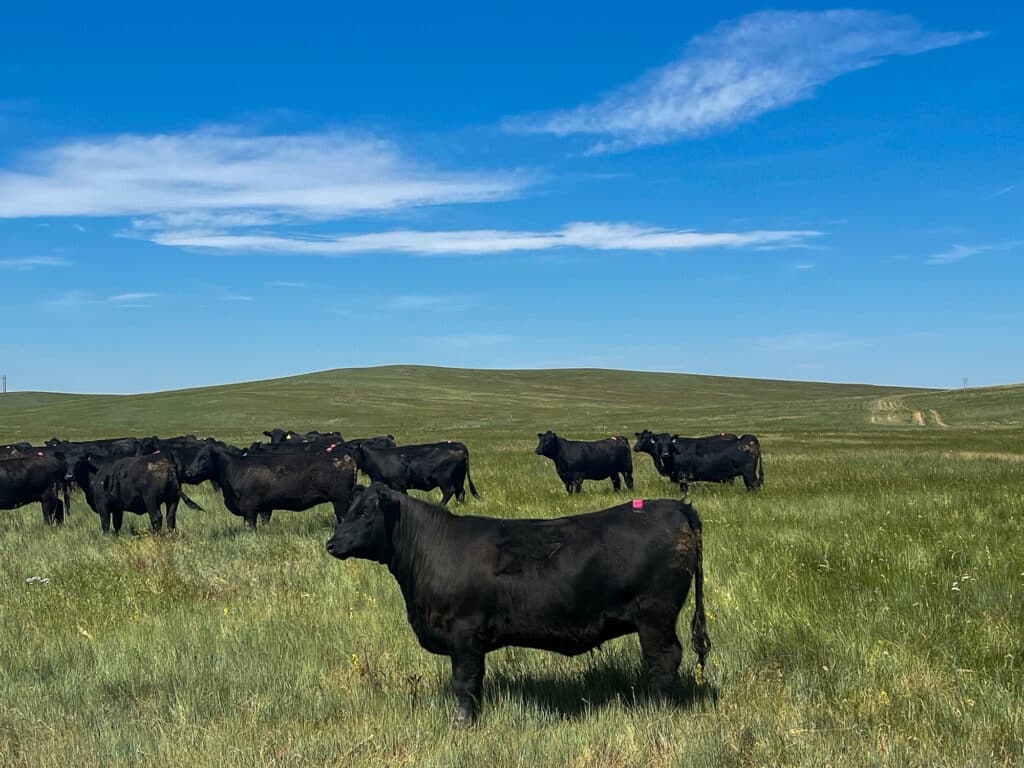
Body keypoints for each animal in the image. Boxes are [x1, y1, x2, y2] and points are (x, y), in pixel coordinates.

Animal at [68, 453, 204, 533]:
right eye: (66, 462)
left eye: (79, 462)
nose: (69, 476)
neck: (96, 472)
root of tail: (166, 460)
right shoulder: (118, 508)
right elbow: (117, 524)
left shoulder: (103, 506)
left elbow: (105, 525)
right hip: (173, 500)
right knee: (170, 518)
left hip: (151, 501)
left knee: (156, 518)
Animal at [184, 444, 357, 528]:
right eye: (196, 456)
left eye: (204, 457)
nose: (188, 472)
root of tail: (346, 455)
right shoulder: (265, 508)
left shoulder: (249, 509)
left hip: (341, 500)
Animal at [326, 484, 710, 725]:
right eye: (348, 511)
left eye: (365, 513)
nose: (331, 543)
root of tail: (677, 506)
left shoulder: (464, 632)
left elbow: (465, 682)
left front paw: (462, 724)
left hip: (655, 616)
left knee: (663, 659)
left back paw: (655, 709)